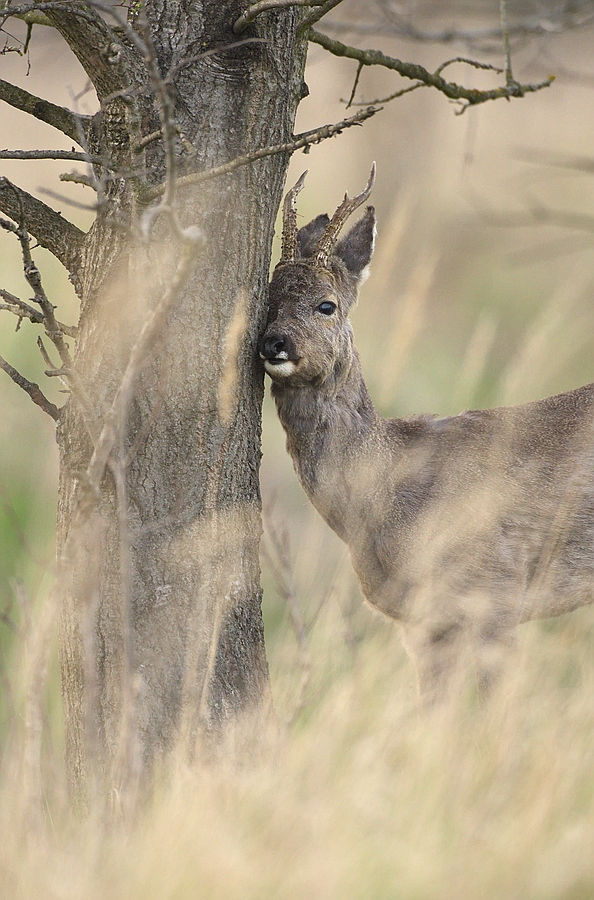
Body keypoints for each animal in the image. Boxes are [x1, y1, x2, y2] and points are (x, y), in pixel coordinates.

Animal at [260, 165, 594, 704]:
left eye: (326, 305)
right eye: (266, 300)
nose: (274, 342)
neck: (382, 493)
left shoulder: (493, 592)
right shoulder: (422, 621)